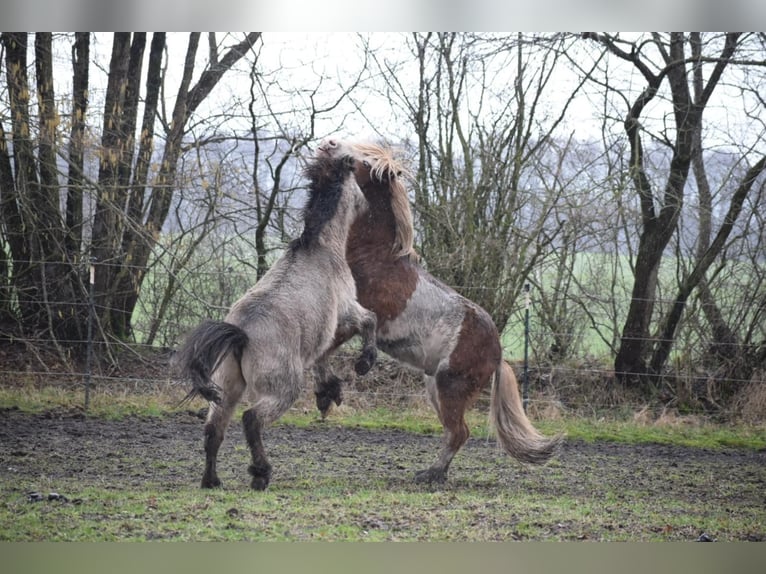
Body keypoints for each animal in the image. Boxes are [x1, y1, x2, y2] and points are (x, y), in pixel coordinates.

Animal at [175, 153, 378, 490]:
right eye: (359, 183)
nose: (369, 207)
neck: (319, 248)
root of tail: (240, 334)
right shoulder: (348, 311)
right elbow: (369, 322)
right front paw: (362, 364)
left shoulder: (326, 332)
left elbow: (325, 354)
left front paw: (328, 392)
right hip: (282, 390)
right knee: (251, 420)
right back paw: (261, 474)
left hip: (227, 389)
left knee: (214, 430)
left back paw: (212, 481)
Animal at [314, 140, 564, 486]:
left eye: (361, 161)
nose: (329, 144)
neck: (375, 260)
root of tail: (498, 351)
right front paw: (326, 394)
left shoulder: (354, 317)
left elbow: (324, 350)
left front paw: (330, 391)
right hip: (435, 387)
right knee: (454, 432)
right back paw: (437, 473)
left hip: (450, 388)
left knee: (459, 432)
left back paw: (430, 474)